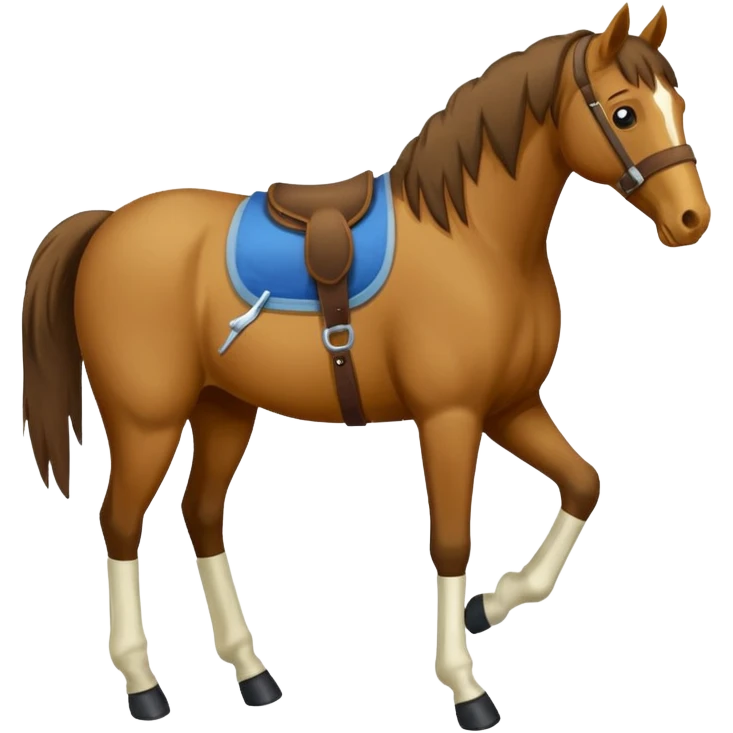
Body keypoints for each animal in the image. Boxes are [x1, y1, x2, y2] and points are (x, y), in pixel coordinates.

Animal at [20, 3, 710, 729]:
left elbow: (582, 484)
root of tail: (106, 224)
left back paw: (253, 674)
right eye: (625, 112)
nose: (693, 218)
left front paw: (490, 606)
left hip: (223, 409)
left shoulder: (511, 408)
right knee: (121, 524)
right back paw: (143, 685)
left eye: (679, 104)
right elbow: (451, 541)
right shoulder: (450, 417)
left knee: (202, 515)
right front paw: (466, 687)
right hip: (146, 421)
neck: (476, 241)